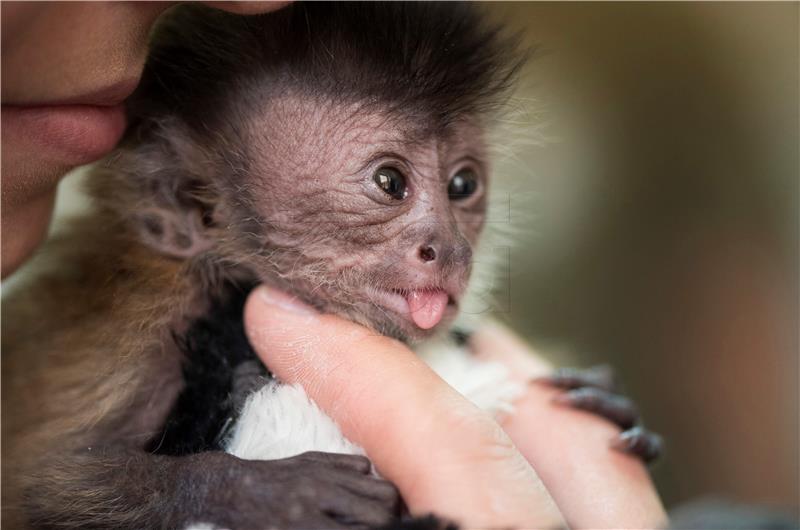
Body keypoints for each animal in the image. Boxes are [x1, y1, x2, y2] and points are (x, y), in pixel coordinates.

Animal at [1, 4, 664, 528]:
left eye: (463, 185)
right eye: (390, 182)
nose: (449, 249)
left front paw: (606, 396)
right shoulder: (146, 330)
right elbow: (46, 484)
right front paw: (253, 489)